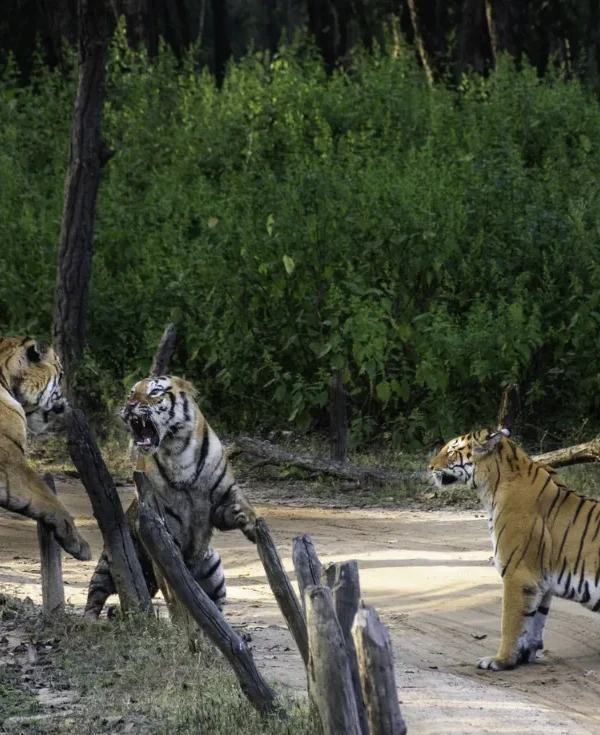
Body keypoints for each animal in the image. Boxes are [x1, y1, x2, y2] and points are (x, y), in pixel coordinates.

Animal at [84, 375, 257, 627]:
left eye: (155, 392)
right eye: (131, 393)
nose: (129, 405)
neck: (178, 451)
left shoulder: (222, 498)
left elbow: (240, 502)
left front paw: (248, 521)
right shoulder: (163, 535)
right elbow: (175, 597)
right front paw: (181, 627)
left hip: (213, 569)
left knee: (214, 608)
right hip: (109, 563)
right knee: (95, 596)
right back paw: (89, 621)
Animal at [429, 425, 600, 671]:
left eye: (452, 451)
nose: (430, 467)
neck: (491, 487)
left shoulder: (518, 575)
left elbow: (510, 623)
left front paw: (500, 660)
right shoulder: (541, 582)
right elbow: (535, 621)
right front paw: (523, 655)